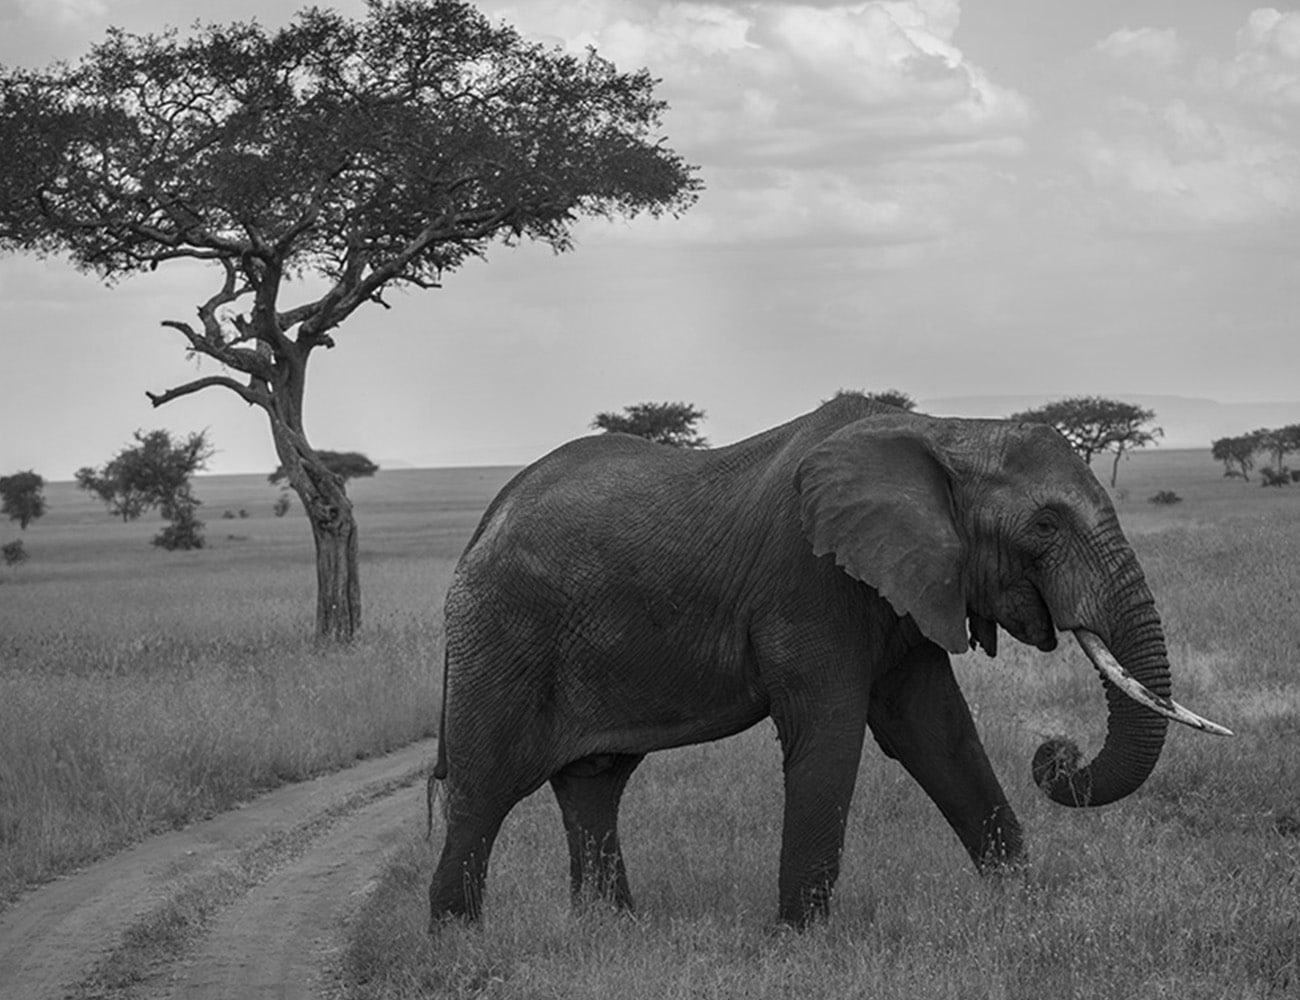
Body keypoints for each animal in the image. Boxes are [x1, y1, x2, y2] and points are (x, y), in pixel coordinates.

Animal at [428, 395, 1227, 925]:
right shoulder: (808, 582)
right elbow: (832, 736)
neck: (948, 428)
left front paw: (1023, 915)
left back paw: (613, 932)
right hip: (500, 633)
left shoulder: (907, 584)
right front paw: (799, 941)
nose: (1056, 754)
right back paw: (459, 940)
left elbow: (938, 733)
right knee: (485, 788)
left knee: (594, 785)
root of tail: (480, 527)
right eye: (1045, 527)